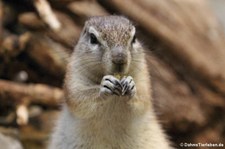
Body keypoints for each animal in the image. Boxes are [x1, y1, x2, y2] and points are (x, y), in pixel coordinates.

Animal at [48, 15, 173, 148]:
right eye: (93, 38)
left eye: (134, 38)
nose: (120, 59)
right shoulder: (74, 76)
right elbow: (78, 98)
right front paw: (104, 86)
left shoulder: (144, 76)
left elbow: (143, 98)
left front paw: (130, 84)